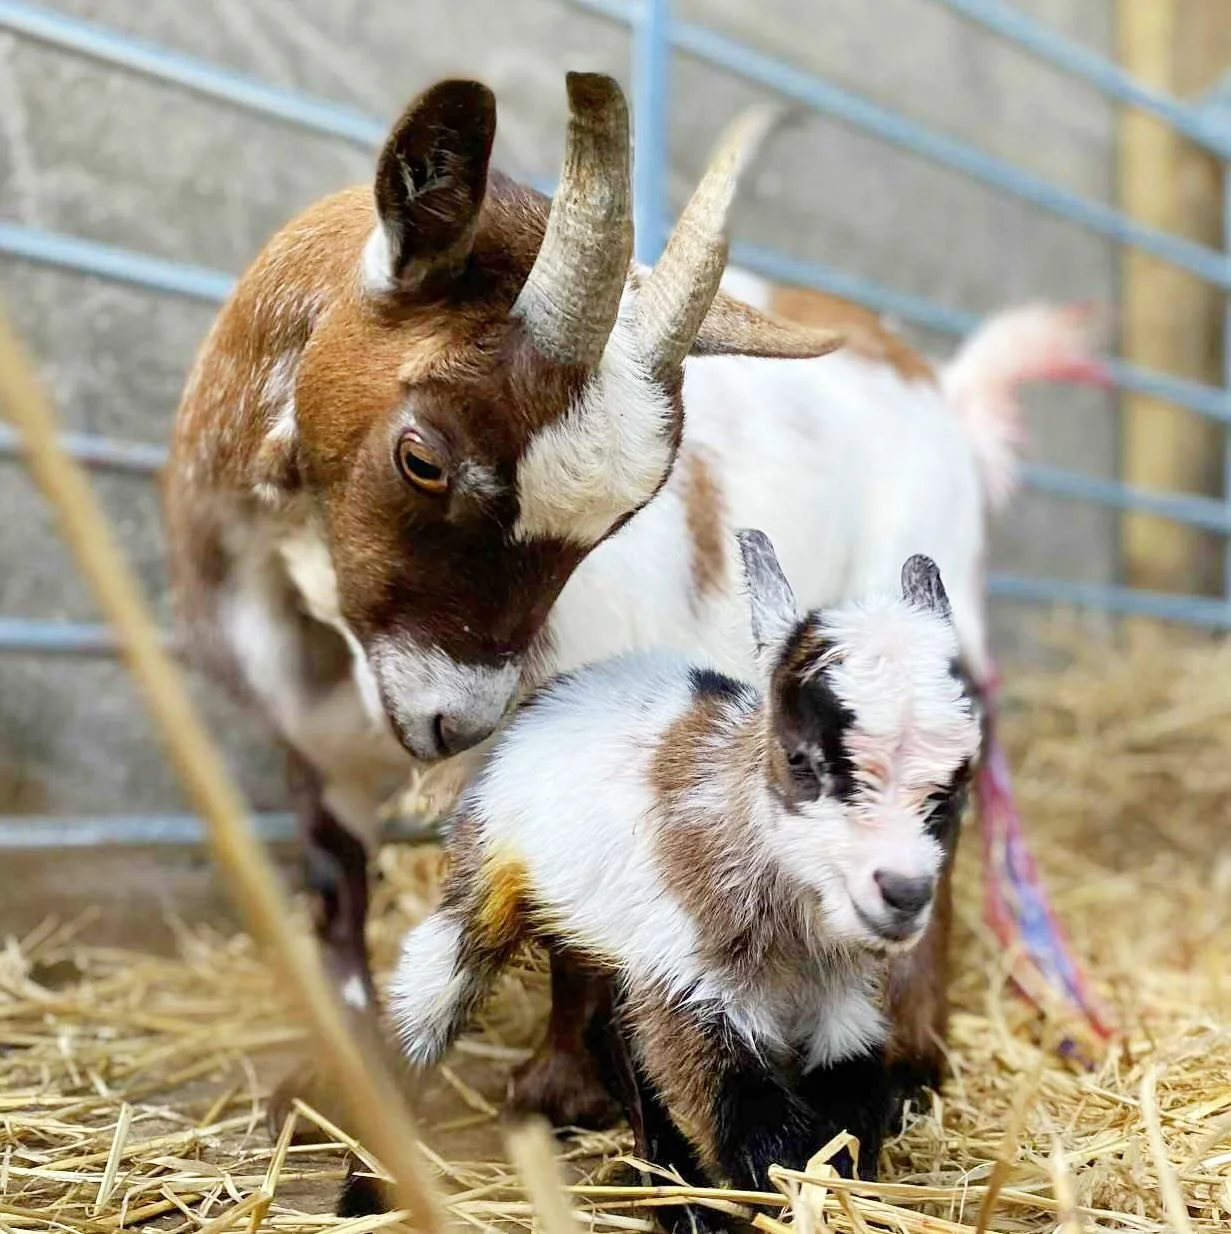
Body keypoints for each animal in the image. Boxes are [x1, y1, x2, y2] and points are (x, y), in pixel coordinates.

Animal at [386, 534, 981, 1226]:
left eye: (952, 781)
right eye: (802, 760)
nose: (904, 893)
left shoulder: (840, 1005)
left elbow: (844, 1109)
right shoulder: (687, 982)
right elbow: (748, 1123)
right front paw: (720, 1207)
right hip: (490, 873)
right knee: (437, 990)